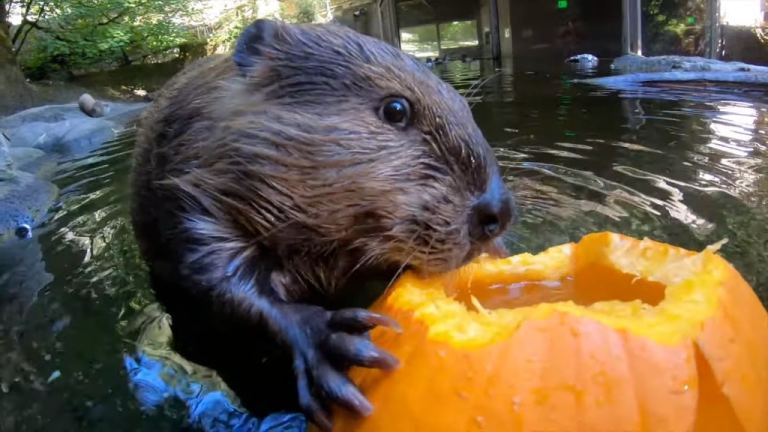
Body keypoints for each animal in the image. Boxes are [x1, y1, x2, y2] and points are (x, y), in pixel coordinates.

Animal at [131, 18, 512, 430]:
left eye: (463, 106)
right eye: (396, 109)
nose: (497, 212)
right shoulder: (190, 195)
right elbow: (212, 272)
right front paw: (329, 342)